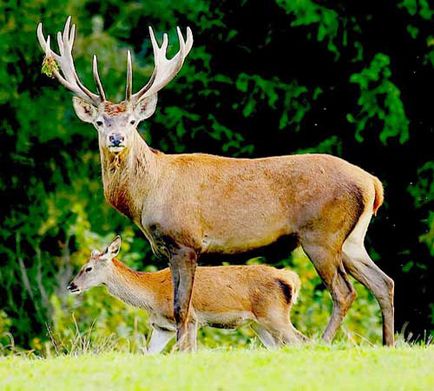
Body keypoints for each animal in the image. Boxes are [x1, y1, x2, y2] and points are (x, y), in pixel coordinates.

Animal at [67, 237, 306, 354]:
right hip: (259, 323)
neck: (151, 296)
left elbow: (187, 351)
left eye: (88, 268)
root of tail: (289, 278)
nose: (71, 286)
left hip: (273, 314)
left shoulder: (190, 318)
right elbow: (149, 354)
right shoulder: (162, 327)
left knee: (301, 340)